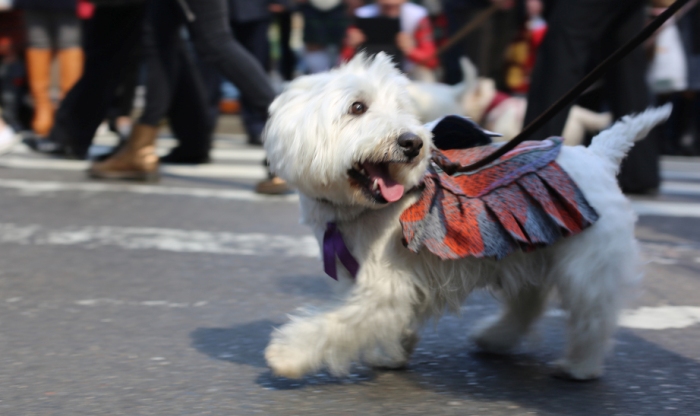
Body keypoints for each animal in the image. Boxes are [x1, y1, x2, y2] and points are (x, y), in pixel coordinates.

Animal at [264, 53, 672, 382]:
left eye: (402, 107)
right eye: (358, 107)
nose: (413, 143)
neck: (359, 209)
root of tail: (598, 155)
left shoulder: (384, 286)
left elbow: (338, 323)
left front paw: (287, 354)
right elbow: (385, 321)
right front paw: (391, 353)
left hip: (586, 265)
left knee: (592, 317)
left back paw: (579, 367)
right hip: (529, 251)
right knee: (529, 302)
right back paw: (495, 338)